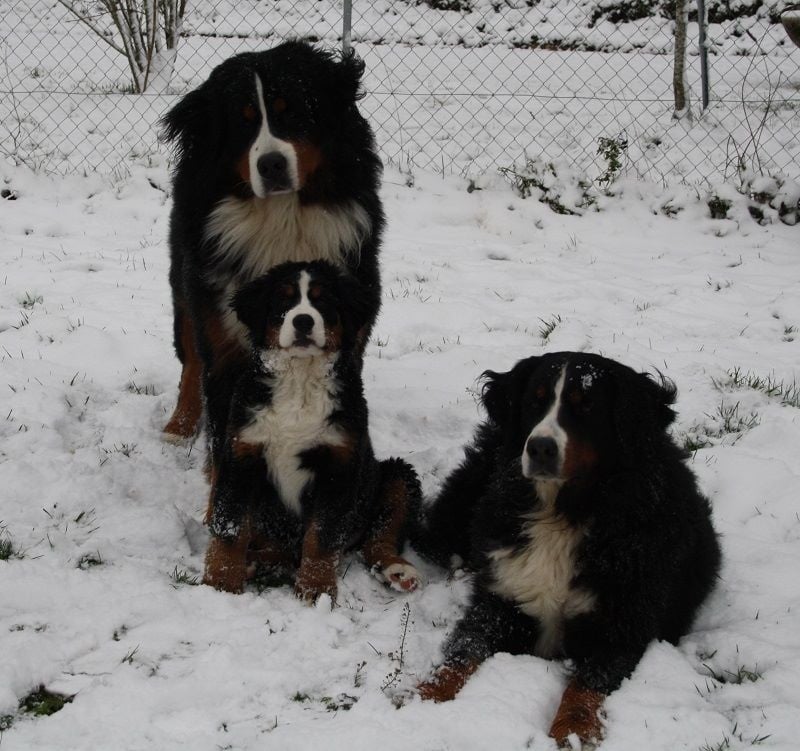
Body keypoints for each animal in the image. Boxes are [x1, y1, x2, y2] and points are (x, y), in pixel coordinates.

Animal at [159, 40, 384, 476]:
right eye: (243, 122)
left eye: (293, 111)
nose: (272, 164)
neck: (283, 219)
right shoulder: (223, 342)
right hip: (185, 290)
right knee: (190, 360)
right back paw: (179, 425)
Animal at [203, 260, 421, 600]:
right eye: (283, 299)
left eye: (324, 301)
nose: (303, 321)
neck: (299, 380)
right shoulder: (241, 456)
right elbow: (231, 528)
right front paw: (222, 583)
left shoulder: (338, 466)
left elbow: (322, 538)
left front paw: (316, 591)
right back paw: (254, 562)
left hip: (397, 477)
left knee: (379, 536)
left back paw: (398, 570)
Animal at [415, 352, 721, 746]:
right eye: (535, 401)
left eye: (586, 406)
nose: (540, 447)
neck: (563, 512)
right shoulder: (501, 599)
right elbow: (463, 652)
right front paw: (422, 697)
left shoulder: (618, 626)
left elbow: (583, 687)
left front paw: (574, 731)